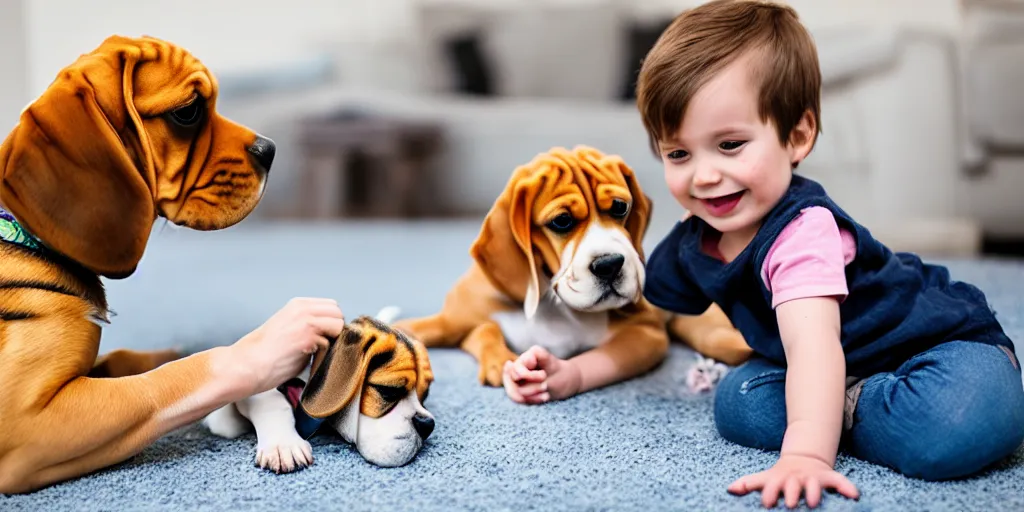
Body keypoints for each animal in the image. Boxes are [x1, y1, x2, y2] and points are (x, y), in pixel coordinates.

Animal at [0, 35, 274, 491]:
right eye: (188, 112)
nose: (270, 150)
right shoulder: (27, 418)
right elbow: (169, 380)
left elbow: (128, 358)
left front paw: (170, 349)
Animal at [391, 146, 753, 393]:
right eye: (561, 221)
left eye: (620, 208)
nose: (610, 265)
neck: (549, 301)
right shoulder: (453, 320)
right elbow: (467, 330)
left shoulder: (646, 333)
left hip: (708, 332)